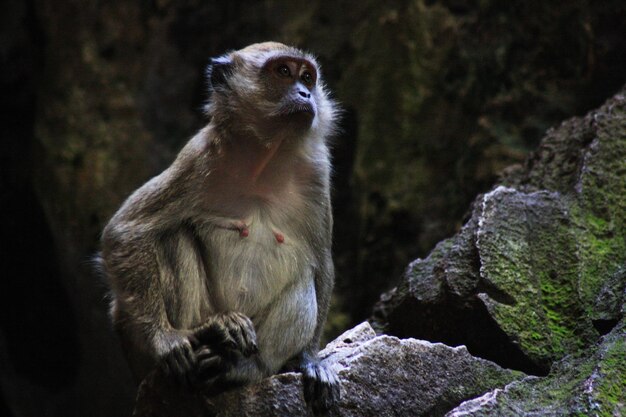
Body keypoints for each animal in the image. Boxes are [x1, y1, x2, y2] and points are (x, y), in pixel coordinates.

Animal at [99, 40, 338, 412]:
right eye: (283, 72)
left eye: (308, 77)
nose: (305, 94)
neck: (264, 160)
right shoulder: (197, 158)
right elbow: (127, 231)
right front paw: (164, 339)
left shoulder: (317, 172)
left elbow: (321, 260)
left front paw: (308, 358)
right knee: (171, 236)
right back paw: (209, 333)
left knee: (304, 275)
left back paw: (242, 368)